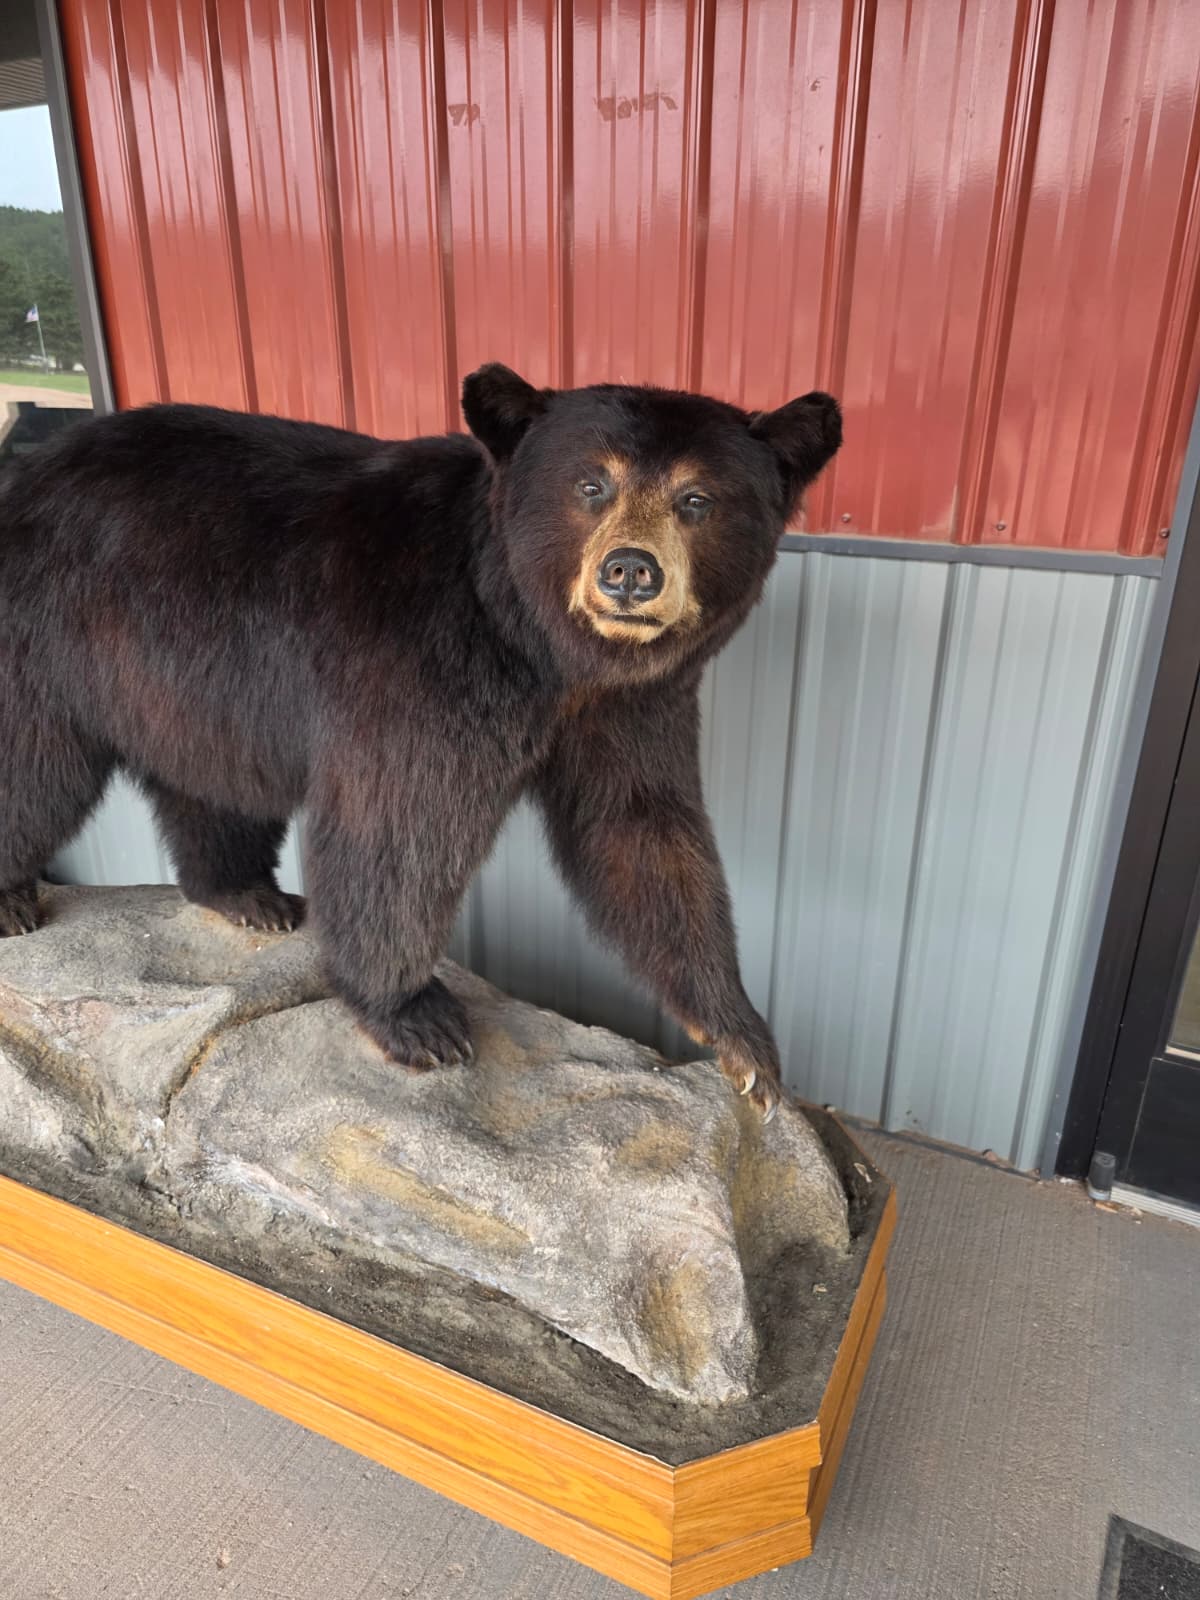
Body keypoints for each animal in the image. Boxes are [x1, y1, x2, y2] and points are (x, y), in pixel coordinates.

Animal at [0, 366, 841, 1120]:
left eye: (696, 498)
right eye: (591, 485)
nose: (629, 572)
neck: (537, 644)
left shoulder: (630, 708)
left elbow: (642, 831)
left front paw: (745, 1042)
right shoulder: (420, 662)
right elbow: (399, 827)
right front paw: (416, 1014)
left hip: (187, 687)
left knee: (213, 783)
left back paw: (246, 895)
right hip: (54, 628)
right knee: (32, 760)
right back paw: (15, 899)